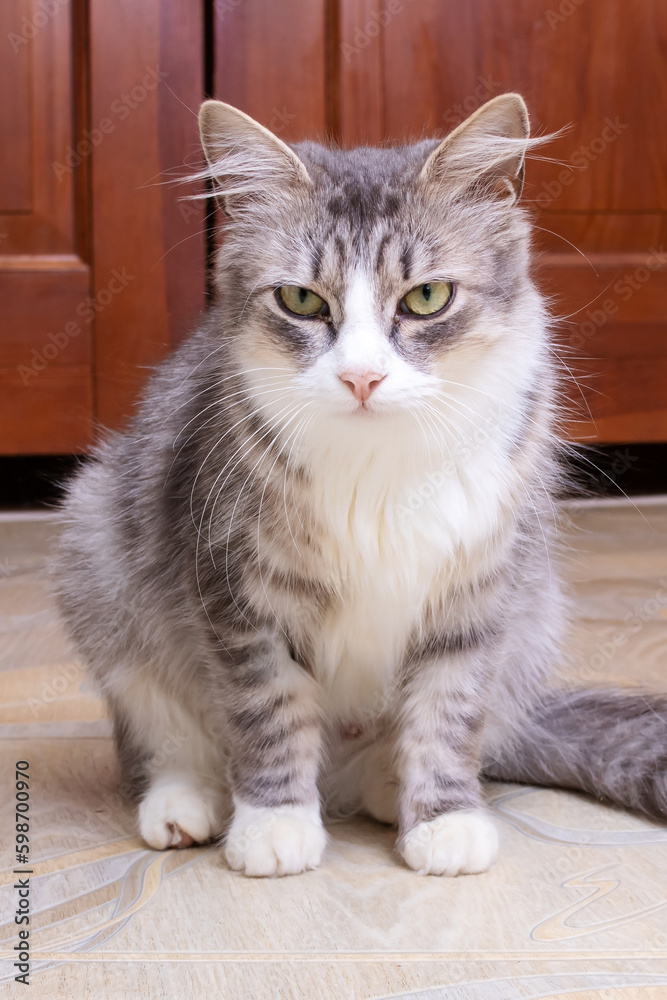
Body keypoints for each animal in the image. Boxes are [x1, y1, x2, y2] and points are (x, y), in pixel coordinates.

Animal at [56, 94, 667, 876]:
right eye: (300, 300)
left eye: (427, 297)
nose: (361, 377)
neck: (377, 465)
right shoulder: (238, 596)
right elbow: (270, 714)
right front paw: (274, 824)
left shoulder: (478, 594)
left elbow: (446, 716)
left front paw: (442, 821)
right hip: (99, 551)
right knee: (164, 740)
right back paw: (186, 805)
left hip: (535, 617)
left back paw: (386, 789)